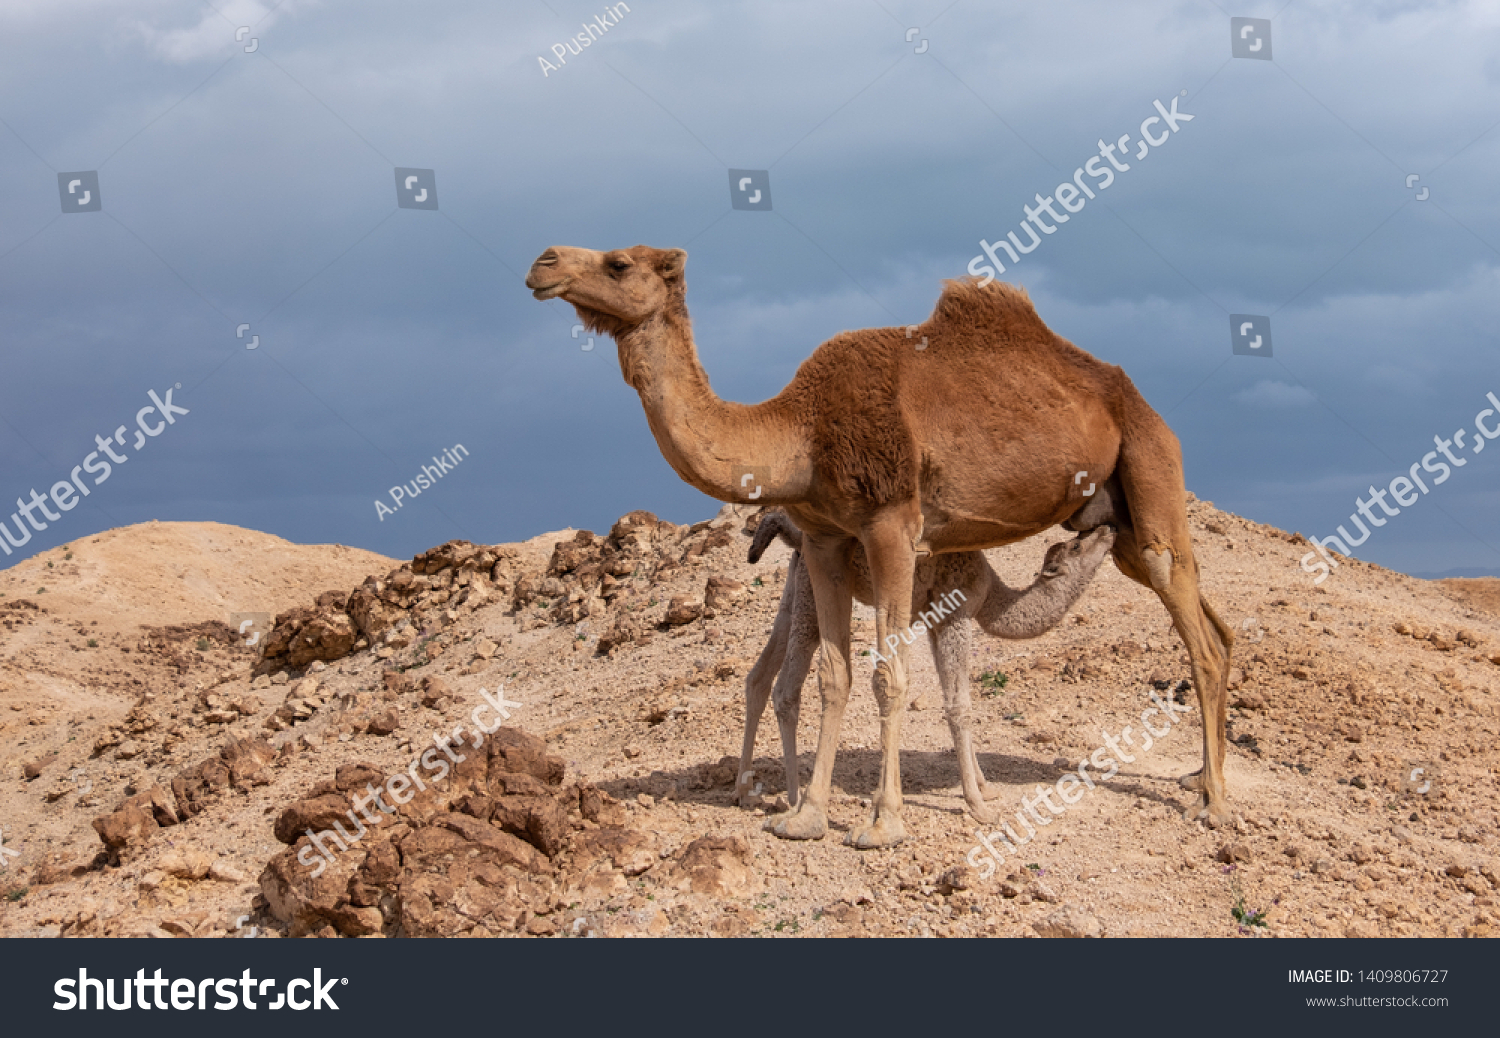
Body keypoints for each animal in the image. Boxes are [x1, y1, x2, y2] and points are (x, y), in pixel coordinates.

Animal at [738, 507, 1116, 822]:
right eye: (1076, 547)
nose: (1108, 528)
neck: (992, 594)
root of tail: (792, 532)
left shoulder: (936, 623)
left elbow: (953, 698)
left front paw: (985, 788)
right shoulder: (956, 613)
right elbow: (960, 706)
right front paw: (978, 805)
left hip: (795, 584)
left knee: (758, 676)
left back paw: (745, 791)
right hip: (812, 593)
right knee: (787, 688)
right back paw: (794, 799)